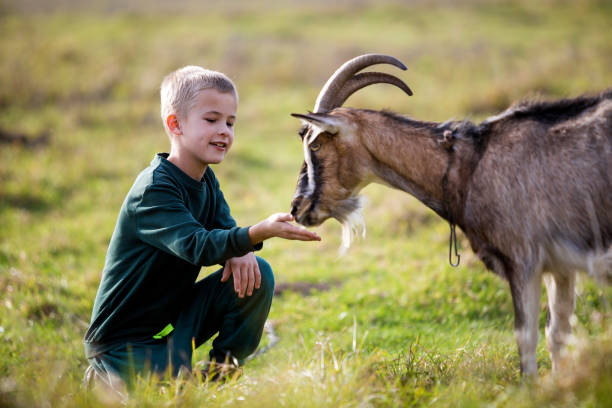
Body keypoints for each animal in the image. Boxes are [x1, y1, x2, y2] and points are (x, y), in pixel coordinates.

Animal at [290, 53, 612, 376]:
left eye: (315, 143)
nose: (297, 208)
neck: (469, 164)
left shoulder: (522, 258)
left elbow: (526, 339)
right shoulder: (560, 267)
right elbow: (558, 335)